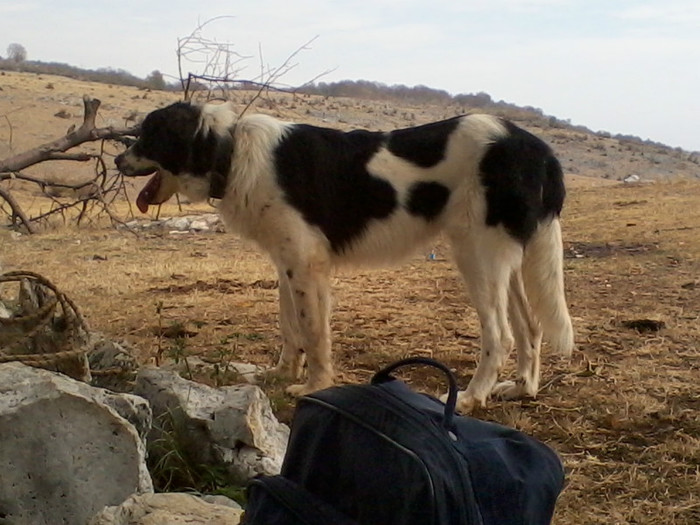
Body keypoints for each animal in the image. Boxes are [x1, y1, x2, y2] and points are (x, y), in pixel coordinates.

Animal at [116, 101, 576, 414]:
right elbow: (290, 328)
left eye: (148, 135)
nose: (118, 159)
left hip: (477, 255)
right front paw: (282, 375)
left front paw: (314, 386)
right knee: (530, 327)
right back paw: (521, 388)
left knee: (501, 334)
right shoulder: (287, 262)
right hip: (503, 260)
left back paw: (471, 397)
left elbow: (313, 331)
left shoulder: (307, 264)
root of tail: (537, 148)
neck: (229, 152)